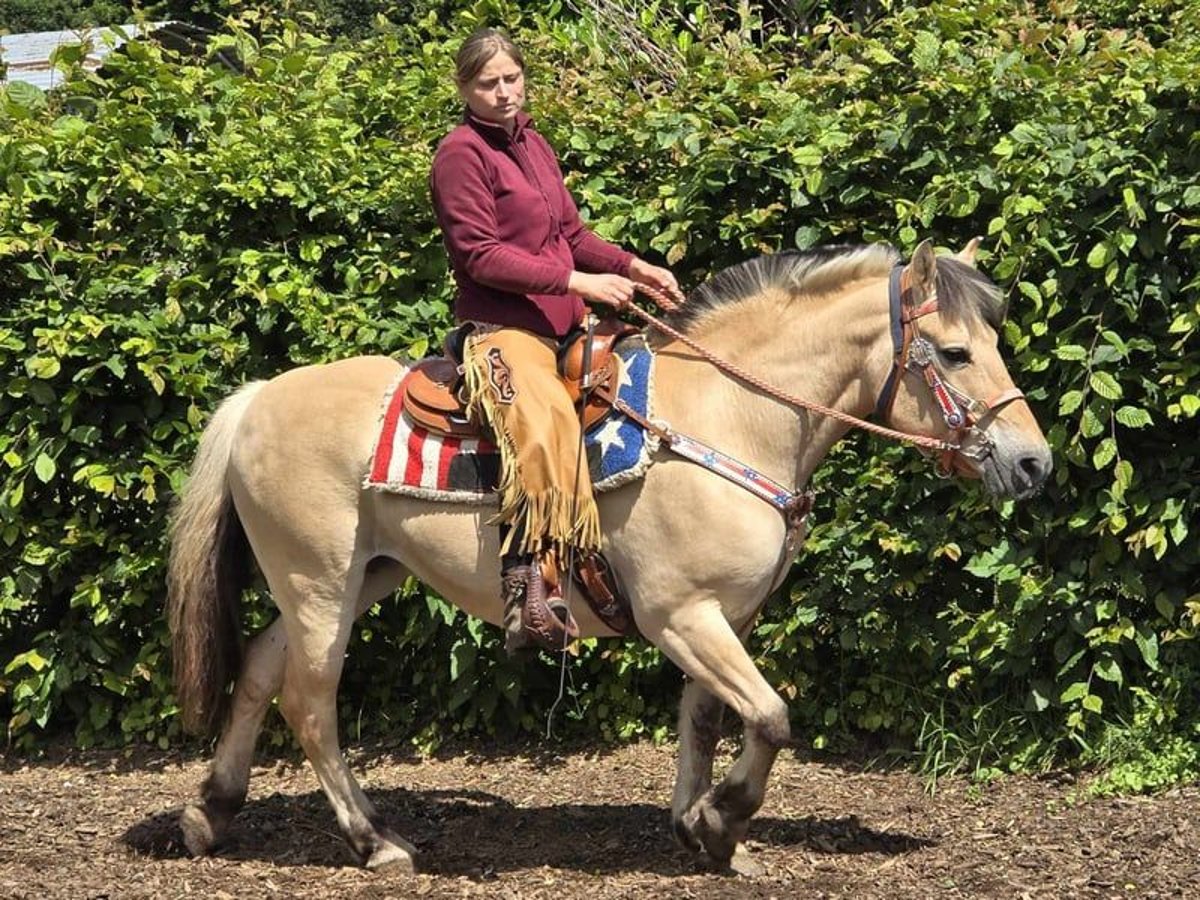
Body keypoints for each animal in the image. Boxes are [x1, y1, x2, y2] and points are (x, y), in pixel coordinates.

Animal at [166, 240, 1051, 873]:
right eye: (956, 353)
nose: (1033, 463)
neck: (726, 415)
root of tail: (257, 398)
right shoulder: (680, 616)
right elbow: (770, 715)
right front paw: (724, 819)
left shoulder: (722, 615)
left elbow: (706, 718)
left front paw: (699, 828)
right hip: (317, 580)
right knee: (310, 703)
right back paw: (374, 841)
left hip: (355, 577)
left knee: (259, 669)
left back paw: (212, 811)